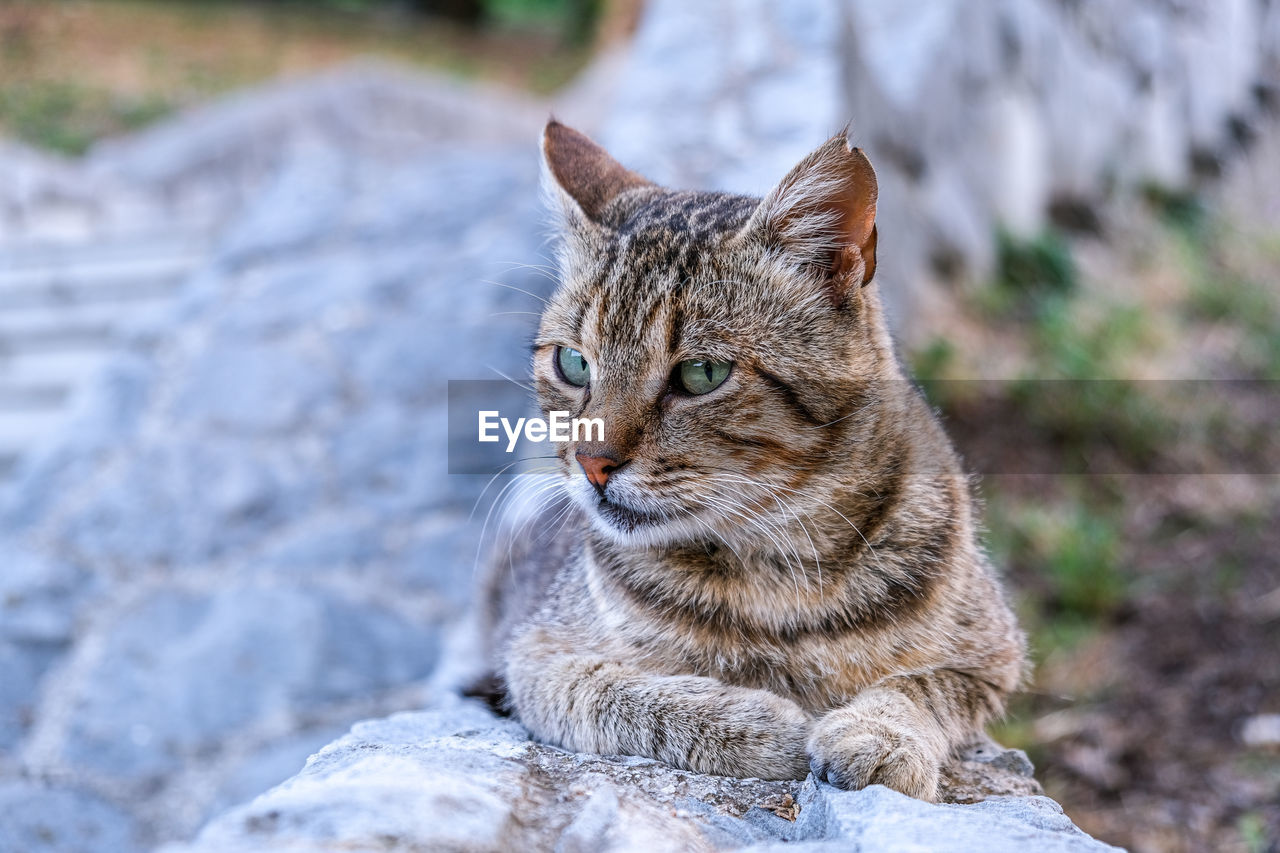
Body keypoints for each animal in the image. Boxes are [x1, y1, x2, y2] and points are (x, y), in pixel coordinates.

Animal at [476, 117, 1024, 799]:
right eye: (574, 363)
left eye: (702, 374)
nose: (591, 462)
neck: (773, 570)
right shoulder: (537, 656)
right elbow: (620, 694)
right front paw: (760, 723)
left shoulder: (994, 656)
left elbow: (920, 687)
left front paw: (878, 735)